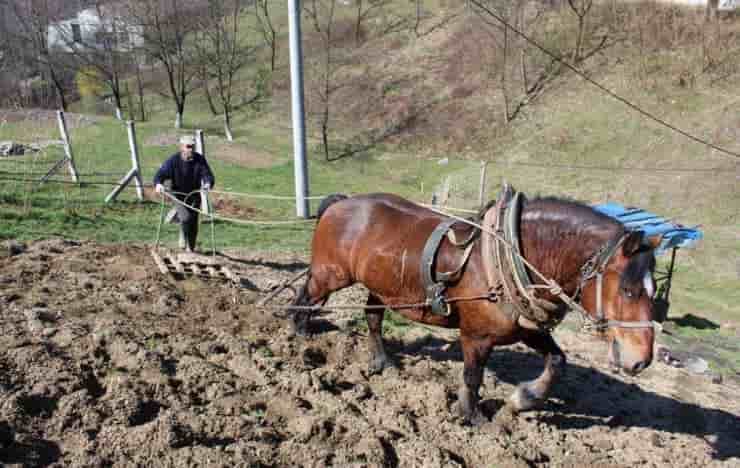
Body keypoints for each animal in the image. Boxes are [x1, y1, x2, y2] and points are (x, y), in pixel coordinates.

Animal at [290, 192, 660, 422]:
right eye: (627, 290)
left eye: (653, 290)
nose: (640, 361)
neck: (510, 257)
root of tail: (341, 203)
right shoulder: (476, 336)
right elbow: (472, 375)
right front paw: (471, 415)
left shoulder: (525, 329)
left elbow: (557, 361)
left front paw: (524, 398)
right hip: (330, 275)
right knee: (303, 301)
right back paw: (299, 341)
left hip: (382, 288)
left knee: (372, 318)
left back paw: (382, 361)